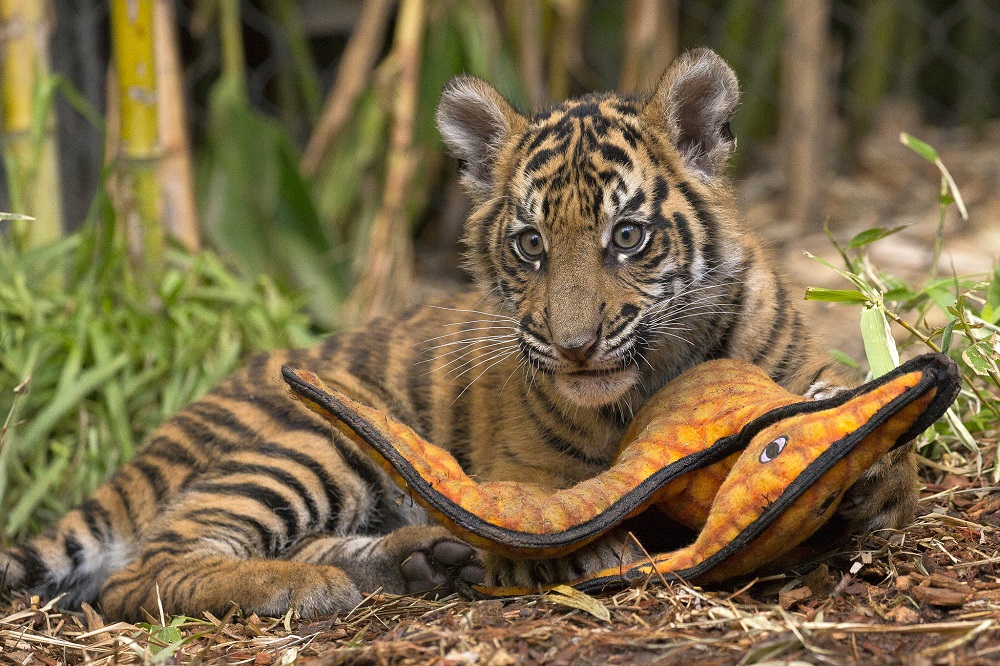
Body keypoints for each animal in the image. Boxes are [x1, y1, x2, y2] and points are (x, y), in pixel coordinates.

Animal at [0, 48, 918, 620]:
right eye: (531, 244)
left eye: (627, 236)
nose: (575, 347)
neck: (662, 371)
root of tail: (153, 443)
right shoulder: (525, 472)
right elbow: (563, 512)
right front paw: (590, 554)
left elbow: (877, 448)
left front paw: (861, 462)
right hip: (316, 437)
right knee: (143, 569)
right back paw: (310, 586)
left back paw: (419, 559)